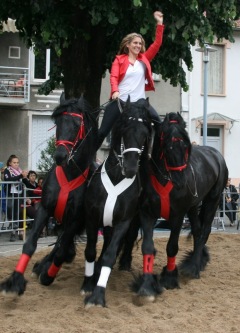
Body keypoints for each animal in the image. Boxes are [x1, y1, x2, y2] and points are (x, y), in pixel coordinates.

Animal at [0, 94, 98, 294]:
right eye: (58, 122)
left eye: (77, 124)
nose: (60, 156)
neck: (70, 173)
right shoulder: (45, 209)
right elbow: (30, 244)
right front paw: (15, 281)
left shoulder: (75, 218)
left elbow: (61, 250)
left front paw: (47, 276)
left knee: (64, 246)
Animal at [80, 98, 156, 306]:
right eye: (124, 129)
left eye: (145, 134)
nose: (130, 168)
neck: (116, 177)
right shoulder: (91, 218)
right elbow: (90, 251)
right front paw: (88, 284)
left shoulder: (123, 221)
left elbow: (110, 254)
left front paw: (98, 294)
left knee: (136, 244)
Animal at [126, 111, 228, 298]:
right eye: (167, 147)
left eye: (186, 146)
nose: (181, 181)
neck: (165, 178)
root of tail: (216, 155)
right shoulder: (147, 213)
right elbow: (147, 247)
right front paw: (147, 285)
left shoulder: (178, 215)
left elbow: (172, 247)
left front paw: (169, 277)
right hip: (194, 206)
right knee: (197, 231)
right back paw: (196, 260)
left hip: (213, 199)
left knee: (204, 231)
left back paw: (194, 267)